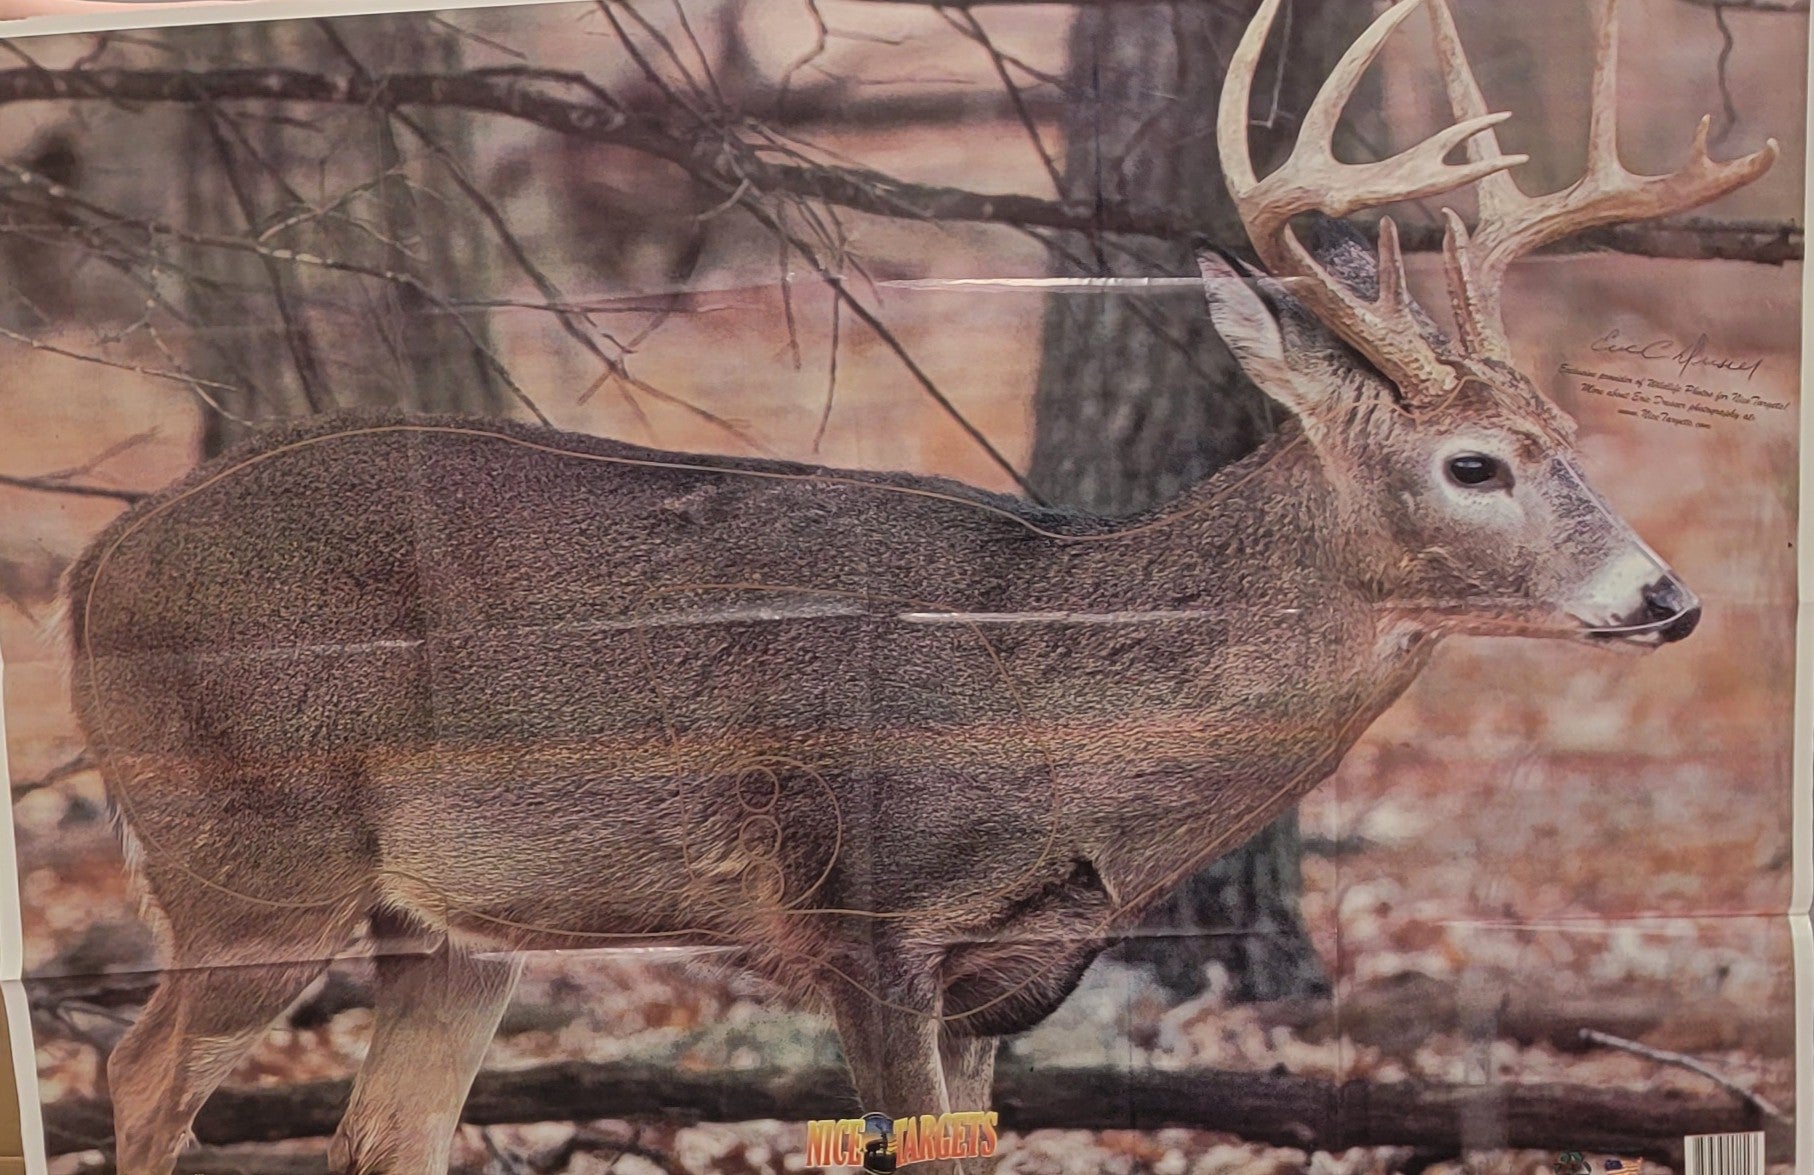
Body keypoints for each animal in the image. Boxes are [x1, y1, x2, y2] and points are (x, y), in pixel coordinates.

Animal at [60, 0, 1774, 1171]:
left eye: (1568, 435)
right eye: (1475, 462)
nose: (1663, 597)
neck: (1053, 707)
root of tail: (91, 565)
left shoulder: (1000, 976)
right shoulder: (860, 903)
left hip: (454, 920)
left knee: (381, 1129)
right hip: (249, 850)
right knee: (137, 1074)